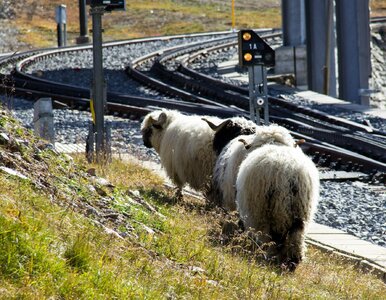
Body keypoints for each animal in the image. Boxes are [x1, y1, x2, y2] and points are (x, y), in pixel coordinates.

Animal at [237, 141, 318, 270]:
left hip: (271, 212)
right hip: (301, 210)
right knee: (297, 235)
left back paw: (271, 258)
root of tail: (290, 171)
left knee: (273, 238)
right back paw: (293, 262)